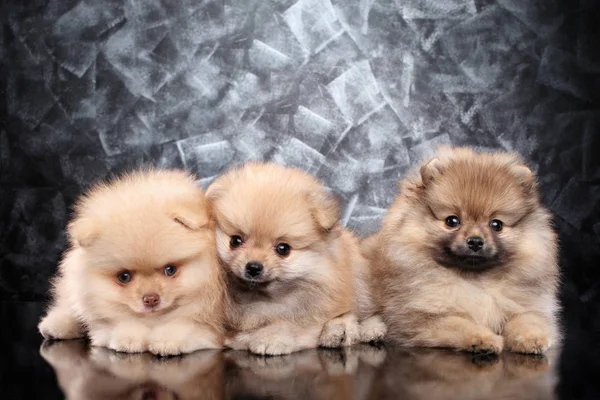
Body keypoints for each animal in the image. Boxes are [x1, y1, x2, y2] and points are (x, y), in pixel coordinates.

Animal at [38, 168, 225, 354]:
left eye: (170, 269)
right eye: (124, 277)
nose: (151, 299)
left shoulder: (211, 324)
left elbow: (185, 324)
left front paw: (167, 340)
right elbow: (121, 322)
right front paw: (129, 338)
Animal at [206, 162, 384, 356]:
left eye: (283, 249)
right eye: (235, 241)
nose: (253, 267)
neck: (261, 296)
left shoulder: (311, 313)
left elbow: (288, 325)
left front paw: (270, 339)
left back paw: (356, 329)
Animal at [366, 147, 564, 354]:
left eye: (496, 225)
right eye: (452, 221)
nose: (475, 241)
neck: (475, 280)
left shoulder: (526, 305)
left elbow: (527, 319)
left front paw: (532, 338)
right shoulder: (420, 317)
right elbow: (460, 324)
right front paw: (484, 339)